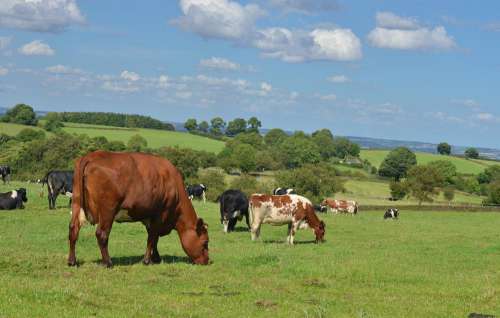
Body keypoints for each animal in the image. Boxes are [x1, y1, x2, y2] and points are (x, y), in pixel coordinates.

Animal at [68, 150, 209, 268]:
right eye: (205, 242)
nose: (207, 261)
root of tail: (92, 155)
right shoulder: (160, 214)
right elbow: (152, 237)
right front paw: (147, 260)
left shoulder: (148, 216)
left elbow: (153, 238)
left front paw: (156, 257)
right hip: (107, 210)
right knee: (101, 234)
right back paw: (108, 262)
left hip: (76, 202)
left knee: (73, 229)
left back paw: (72, 261)